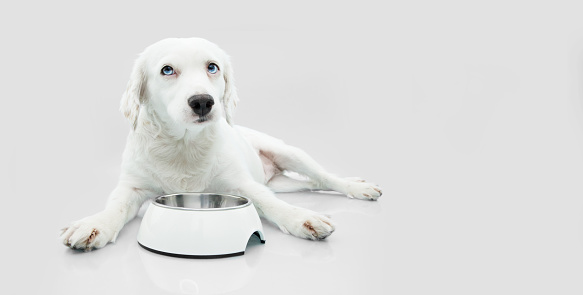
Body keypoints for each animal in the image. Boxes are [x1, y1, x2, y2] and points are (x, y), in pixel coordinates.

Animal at [60, 38, 384, 251]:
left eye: (212, 67)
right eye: (167, 70)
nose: (203, 102)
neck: (183, 144)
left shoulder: (241, 184)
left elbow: (269, 202)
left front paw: (300, 217)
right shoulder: (132, 186)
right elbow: (114, 206)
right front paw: (94, 224)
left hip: (290, 153)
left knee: (325, 177)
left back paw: (357, 186)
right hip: (285, 183)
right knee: (311, 185)